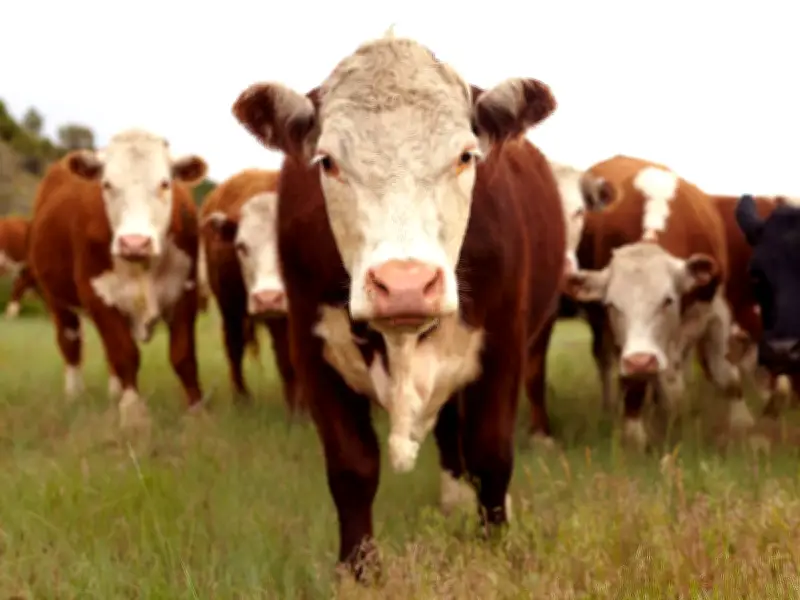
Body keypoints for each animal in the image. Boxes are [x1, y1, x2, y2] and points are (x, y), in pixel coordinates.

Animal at [27, 129, 208, 429]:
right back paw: (75, 394)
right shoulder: (98, 296)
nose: (134, 242)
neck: (143, 266)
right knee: (70, 342)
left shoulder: (185, 292)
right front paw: (133, 413)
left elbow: (183, 355)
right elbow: (125, 354)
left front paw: (196, 411)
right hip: (57, 300)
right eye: (107, 184)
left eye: (165, 183)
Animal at [230, 31, 565, 579]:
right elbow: (351, 465)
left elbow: (491, 453)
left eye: (465, 156)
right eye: (327, 161)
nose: (405, 283)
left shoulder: (504, 346)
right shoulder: (312, 349)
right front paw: (359, 571)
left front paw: (495, 545)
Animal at [564, 155, 754, 450]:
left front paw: (742, 426)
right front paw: (636, 435)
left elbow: (726, 375)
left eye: (668, 300)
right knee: (607, 364)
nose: (641, 361)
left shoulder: (716, 312)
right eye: (612, 305)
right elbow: (634, 384)